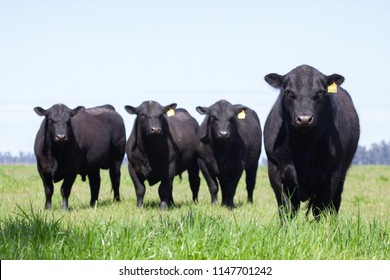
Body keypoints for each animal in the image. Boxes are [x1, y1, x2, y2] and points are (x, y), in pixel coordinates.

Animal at [264, 64, 362, 220]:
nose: (304, 119)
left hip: (342, 174)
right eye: (288, 91)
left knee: (335, 203)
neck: (303, 145)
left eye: (320, 92)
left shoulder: (331, 174)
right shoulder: (275, 170)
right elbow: (286, 208)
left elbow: (320, 209)